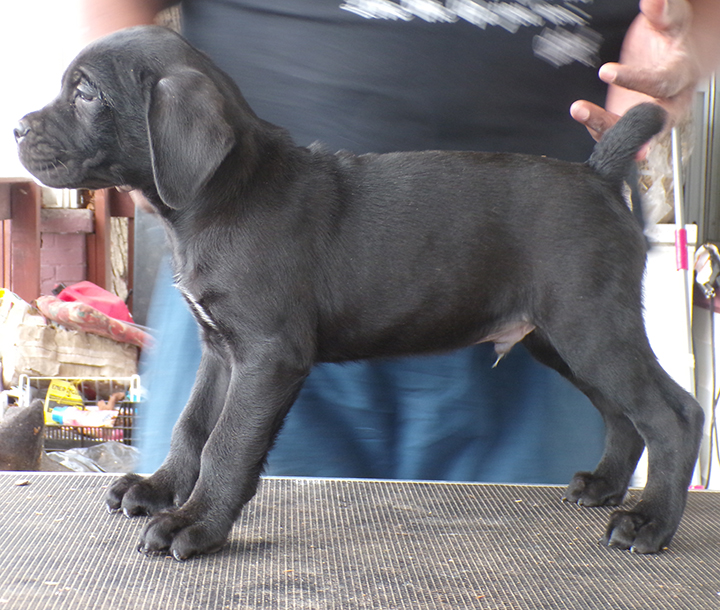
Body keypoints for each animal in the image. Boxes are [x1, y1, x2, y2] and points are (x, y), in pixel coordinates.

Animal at [15, 26, 704, 560]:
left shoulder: (269, 355)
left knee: (674, 414)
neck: (225, 193)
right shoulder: (222, 350)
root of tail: (599, 173)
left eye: (85, 92)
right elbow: (192, 426)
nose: (18, 127)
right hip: (558, 336)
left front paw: (196, 524)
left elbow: (227, 444)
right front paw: (161, 489)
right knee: (624, 414)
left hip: (590, 325)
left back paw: (649, 522)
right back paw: (607, 486)